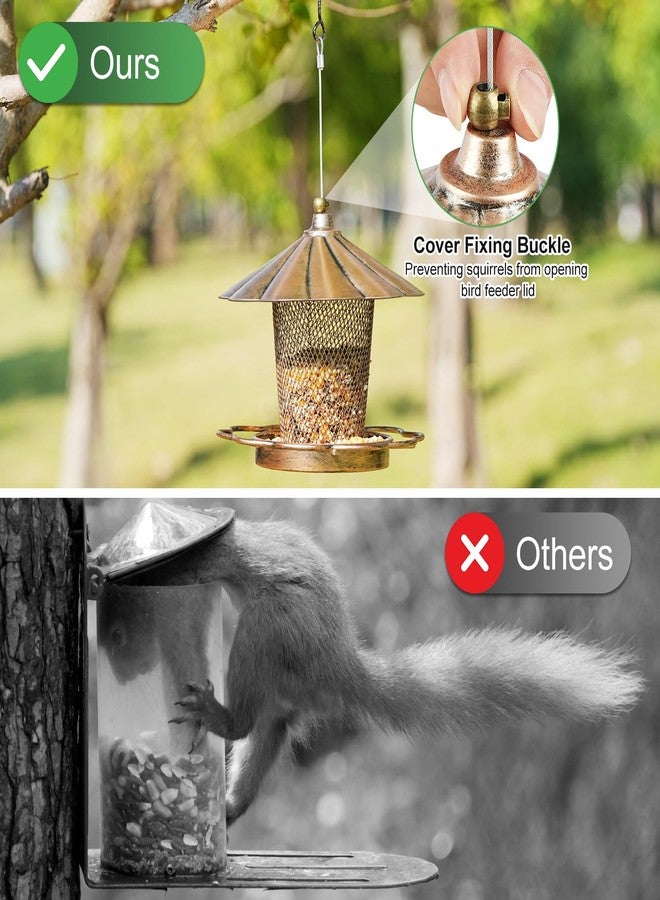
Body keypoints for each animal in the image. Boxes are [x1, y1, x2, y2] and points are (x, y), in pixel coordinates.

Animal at [100, 514, 643, 827]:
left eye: (121, 637)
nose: (122, 679)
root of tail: (337, 663)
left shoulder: (192, 565)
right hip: (280, 698)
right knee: (266, 733)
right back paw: (231, 808)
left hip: (268, 628)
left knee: (246, 723)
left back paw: (214, 716)